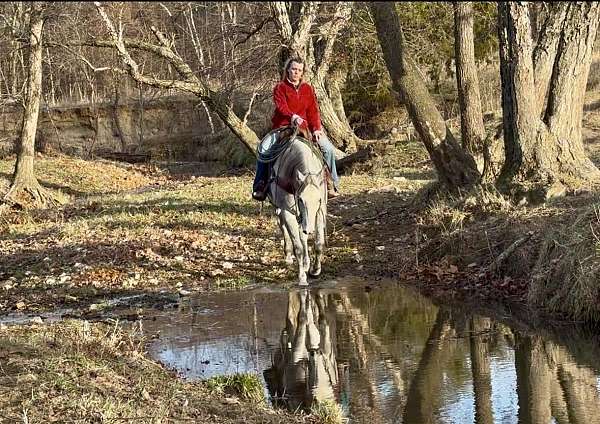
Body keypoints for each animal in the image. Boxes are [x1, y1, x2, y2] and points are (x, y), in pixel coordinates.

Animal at [264, 131, 326, 286]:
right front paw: (302, 277)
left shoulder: (320, 211)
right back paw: (288, 256)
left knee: (302, 235)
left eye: (318, 200)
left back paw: (306, 263)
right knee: (284, 228)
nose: (309, 229)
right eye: (300, 199)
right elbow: (298, 247)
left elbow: (318, 243)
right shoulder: (287, 212)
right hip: (279, 209)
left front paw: (315, 270)